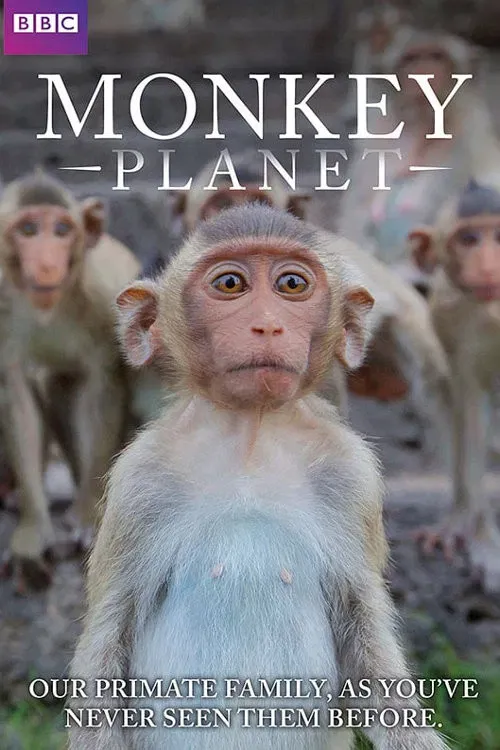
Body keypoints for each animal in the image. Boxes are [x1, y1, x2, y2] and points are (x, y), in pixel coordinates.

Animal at [0, 170, 142, 591]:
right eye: (28, 230)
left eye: (62, 230)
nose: (48, 262)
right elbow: (16, 395)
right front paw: (33, 529)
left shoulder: (102, 300)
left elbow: (102, 385)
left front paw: (87, 518)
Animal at [69, 204, 449, 750]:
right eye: (230, 283)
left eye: (292, 284)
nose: (268, 326)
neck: (250, 436)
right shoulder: (140, 482)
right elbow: (107, 642)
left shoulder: (350, 476)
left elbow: (369, 650)